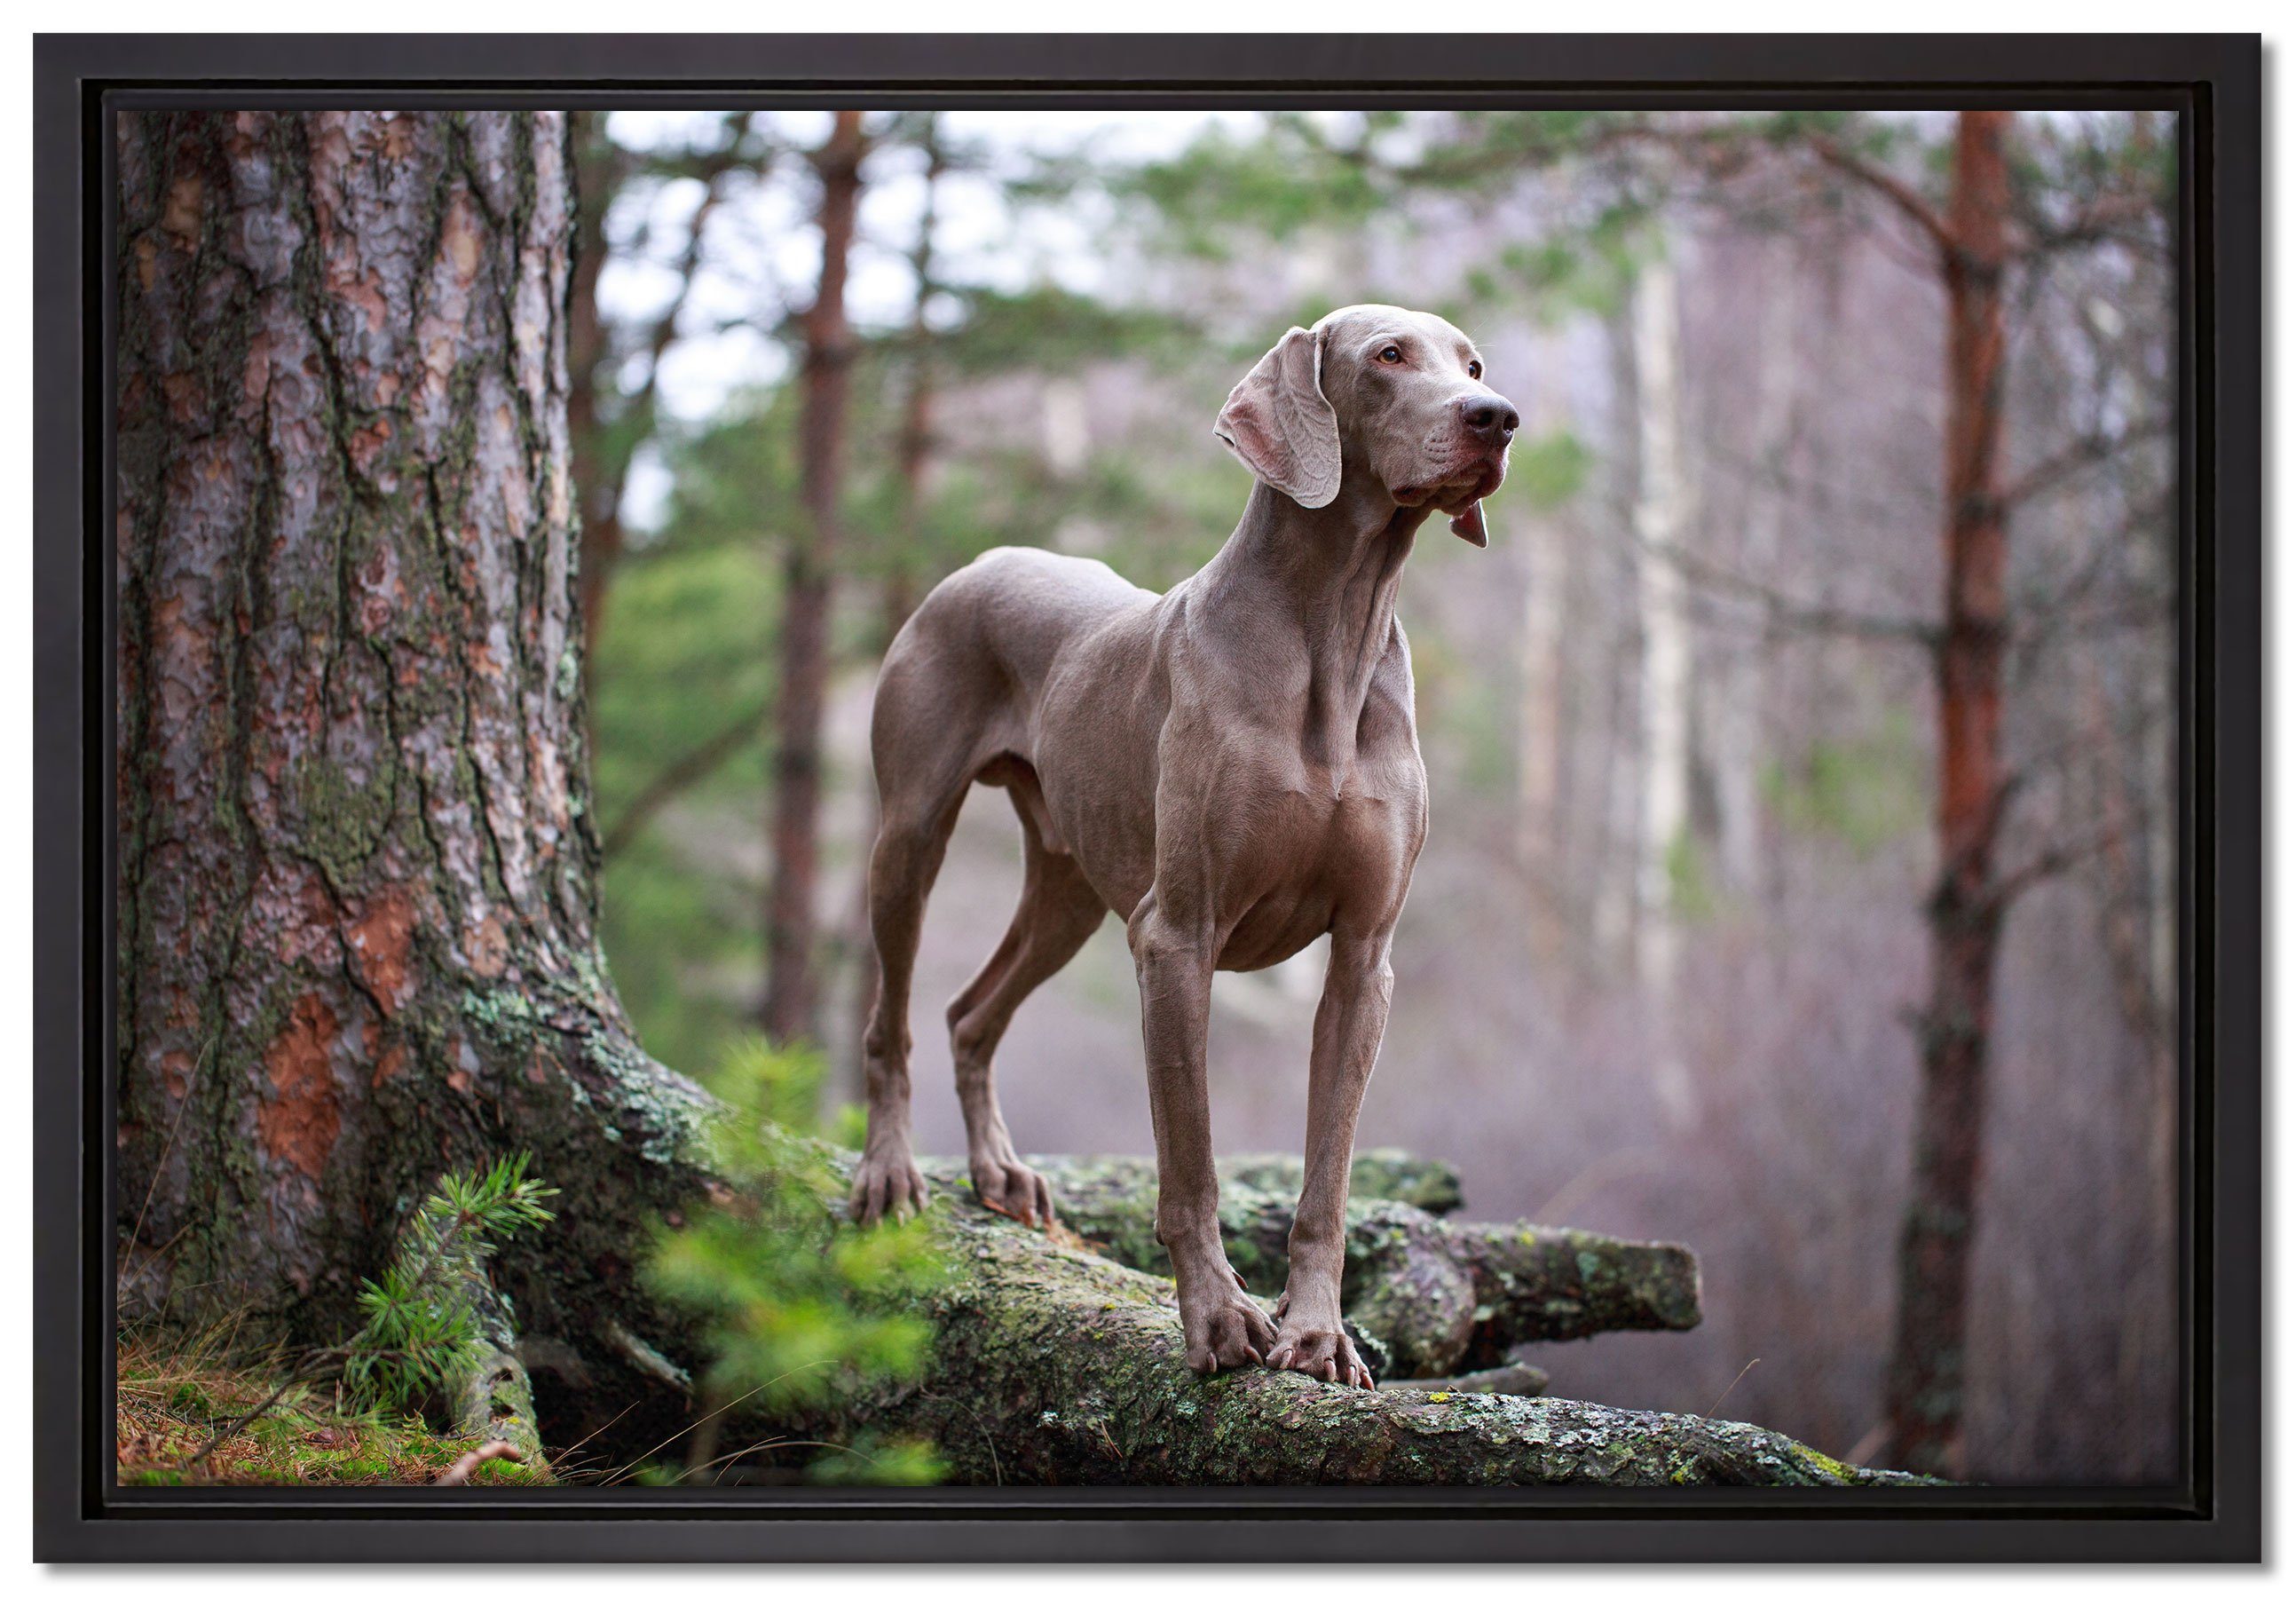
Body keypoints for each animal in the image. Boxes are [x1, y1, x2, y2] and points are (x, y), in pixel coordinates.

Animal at [854, 303, 1515, 1387]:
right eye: (1387, 356)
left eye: (1471, 364)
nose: (1496, 417)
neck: (1333, 632)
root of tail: (984, 560)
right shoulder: (1176, 938)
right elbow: (1190, 1164)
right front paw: (1217, 1321)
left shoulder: (1362, 960)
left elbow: (1326, 1180)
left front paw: (1317, 1334)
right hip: (909, 836)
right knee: (893, 1020)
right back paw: (889, 1172)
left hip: (1070, 890)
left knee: (968, 1012)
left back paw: (999, 1172)